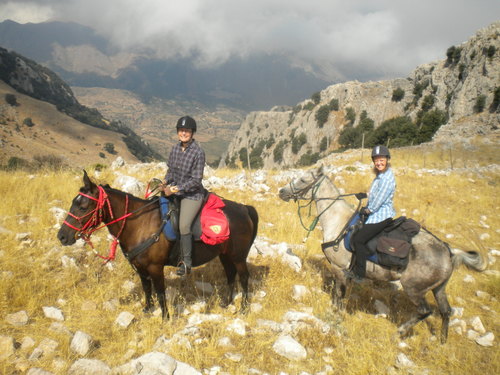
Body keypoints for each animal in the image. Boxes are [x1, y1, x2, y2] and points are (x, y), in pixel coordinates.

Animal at [57, 172, 258, 318]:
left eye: (83, 207)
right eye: (73, 203)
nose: (62, 236)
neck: (140, 224)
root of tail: (243, 208)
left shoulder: (155, 267)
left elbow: (160, 293)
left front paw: (165, 317)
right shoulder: (140, 267)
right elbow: (147, 289)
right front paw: (147, 310)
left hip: (238, 257)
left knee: (244, 277)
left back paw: (243, 308)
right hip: (225, 255)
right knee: (230, 275)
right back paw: (227, 302)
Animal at [278, 167, 484, 344]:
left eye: (303, 179)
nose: (281, 192)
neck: (339, 221)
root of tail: (449, 252)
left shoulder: (339, 268)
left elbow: (338, 294)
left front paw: (335, 314)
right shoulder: (347, 273)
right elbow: (343, 294)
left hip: (413, 288)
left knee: (425, 311)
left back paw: (399, 332)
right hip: (439, 289)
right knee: (446, 312)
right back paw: (442, 341)